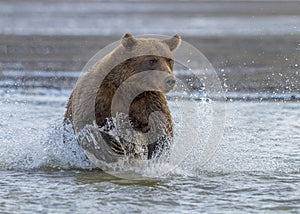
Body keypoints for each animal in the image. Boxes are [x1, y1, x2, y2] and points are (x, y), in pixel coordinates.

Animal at [64, 33, 180, 164]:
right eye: (152, 60)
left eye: (169, 60)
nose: (170, 80)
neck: (128, 87)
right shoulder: (99, 96)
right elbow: (85, 125)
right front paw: (113, 146)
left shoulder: (148, 100)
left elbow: (161, 128)